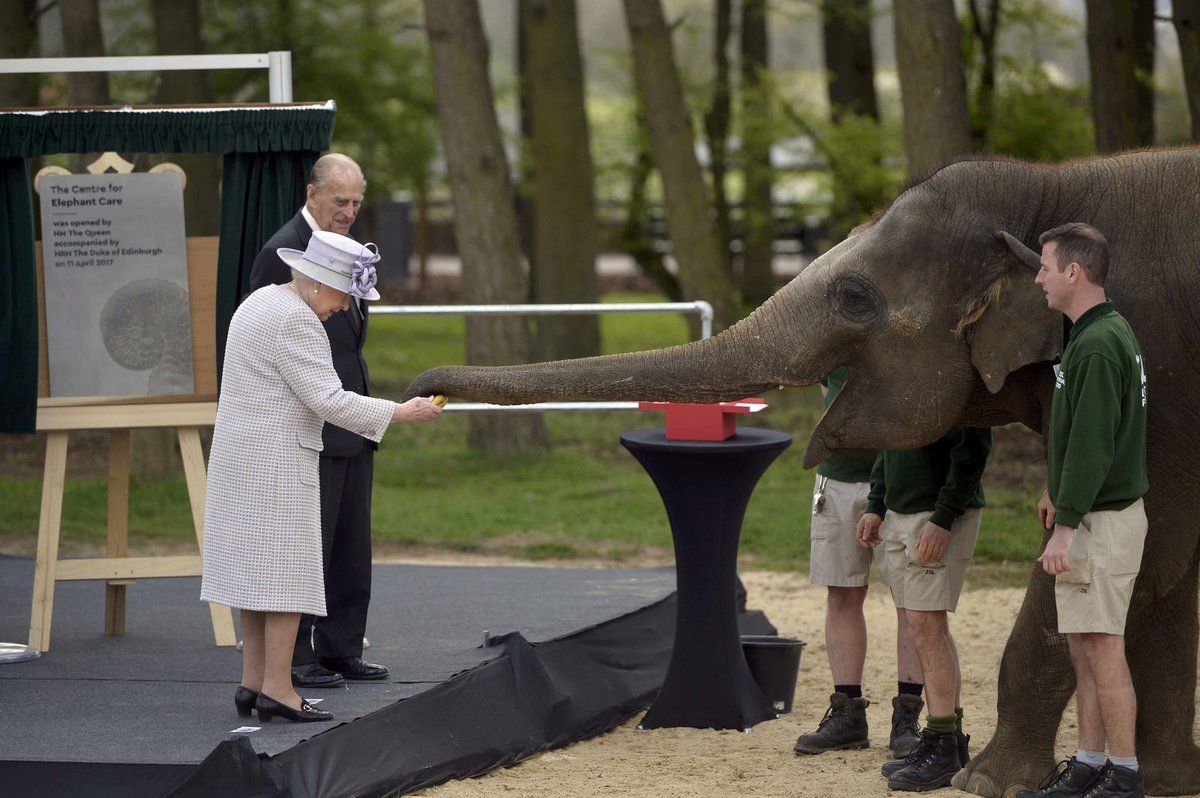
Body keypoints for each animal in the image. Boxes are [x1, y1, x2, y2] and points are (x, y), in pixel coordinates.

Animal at [403, 151, 1200, 796]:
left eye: (853, 298)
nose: (422, 389)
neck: (1050, 184)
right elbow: (1169, 571)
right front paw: (1167, 781)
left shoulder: (1156, 377)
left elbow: (1140, 546)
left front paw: (986, 782)